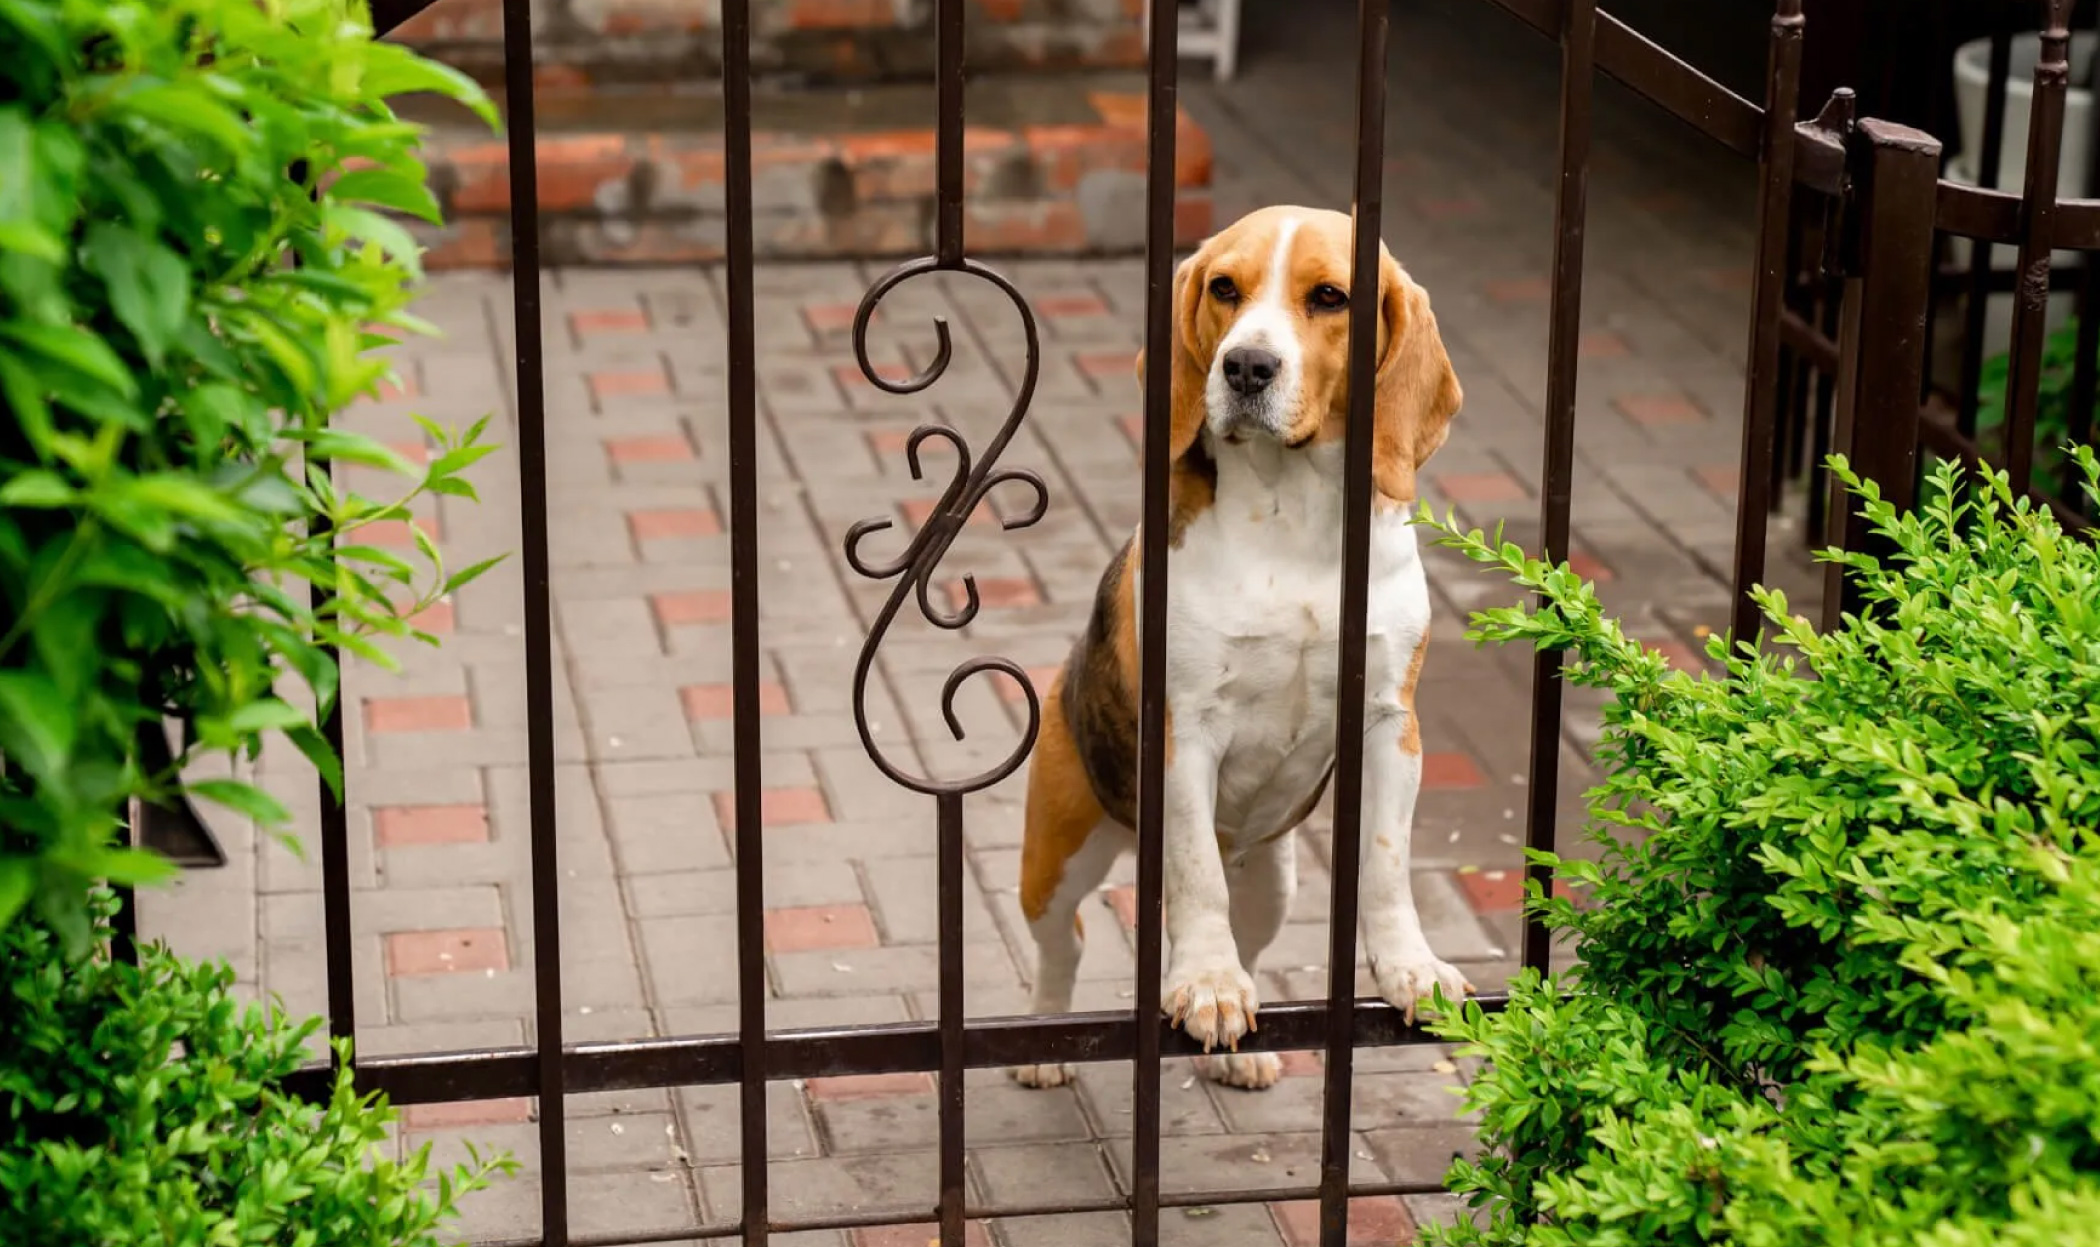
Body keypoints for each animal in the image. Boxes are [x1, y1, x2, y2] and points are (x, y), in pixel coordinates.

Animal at [1007, 206, 1469, 1091]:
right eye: (1225, 287)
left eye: (1330, 297)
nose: (1247, 365)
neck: (1294, 517)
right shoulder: (1185, 731)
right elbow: (1195, 880)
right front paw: (1210, 983)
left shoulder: (1390, 724)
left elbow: (1387, 864)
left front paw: (1412, 964)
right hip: (1058, 851)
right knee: (1065, 939)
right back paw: (1045, 1042)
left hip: (1272, 877)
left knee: (1244, 925)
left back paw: (1246, 1053)